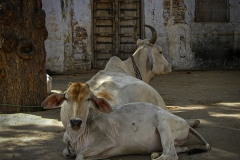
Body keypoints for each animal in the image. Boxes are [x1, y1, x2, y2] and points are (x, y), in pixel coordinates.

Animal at [41, 82, 210, 160]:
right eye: (66, 98)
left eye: (88, 99)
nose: (75, 122)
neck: (76, 136)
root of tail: (185, 123)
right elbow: (66, 152)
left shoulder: (106, 141)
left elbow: (80, 155)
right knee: (176, 149)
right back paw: (157, 152)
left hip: (163, 123)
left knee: (170, 155)